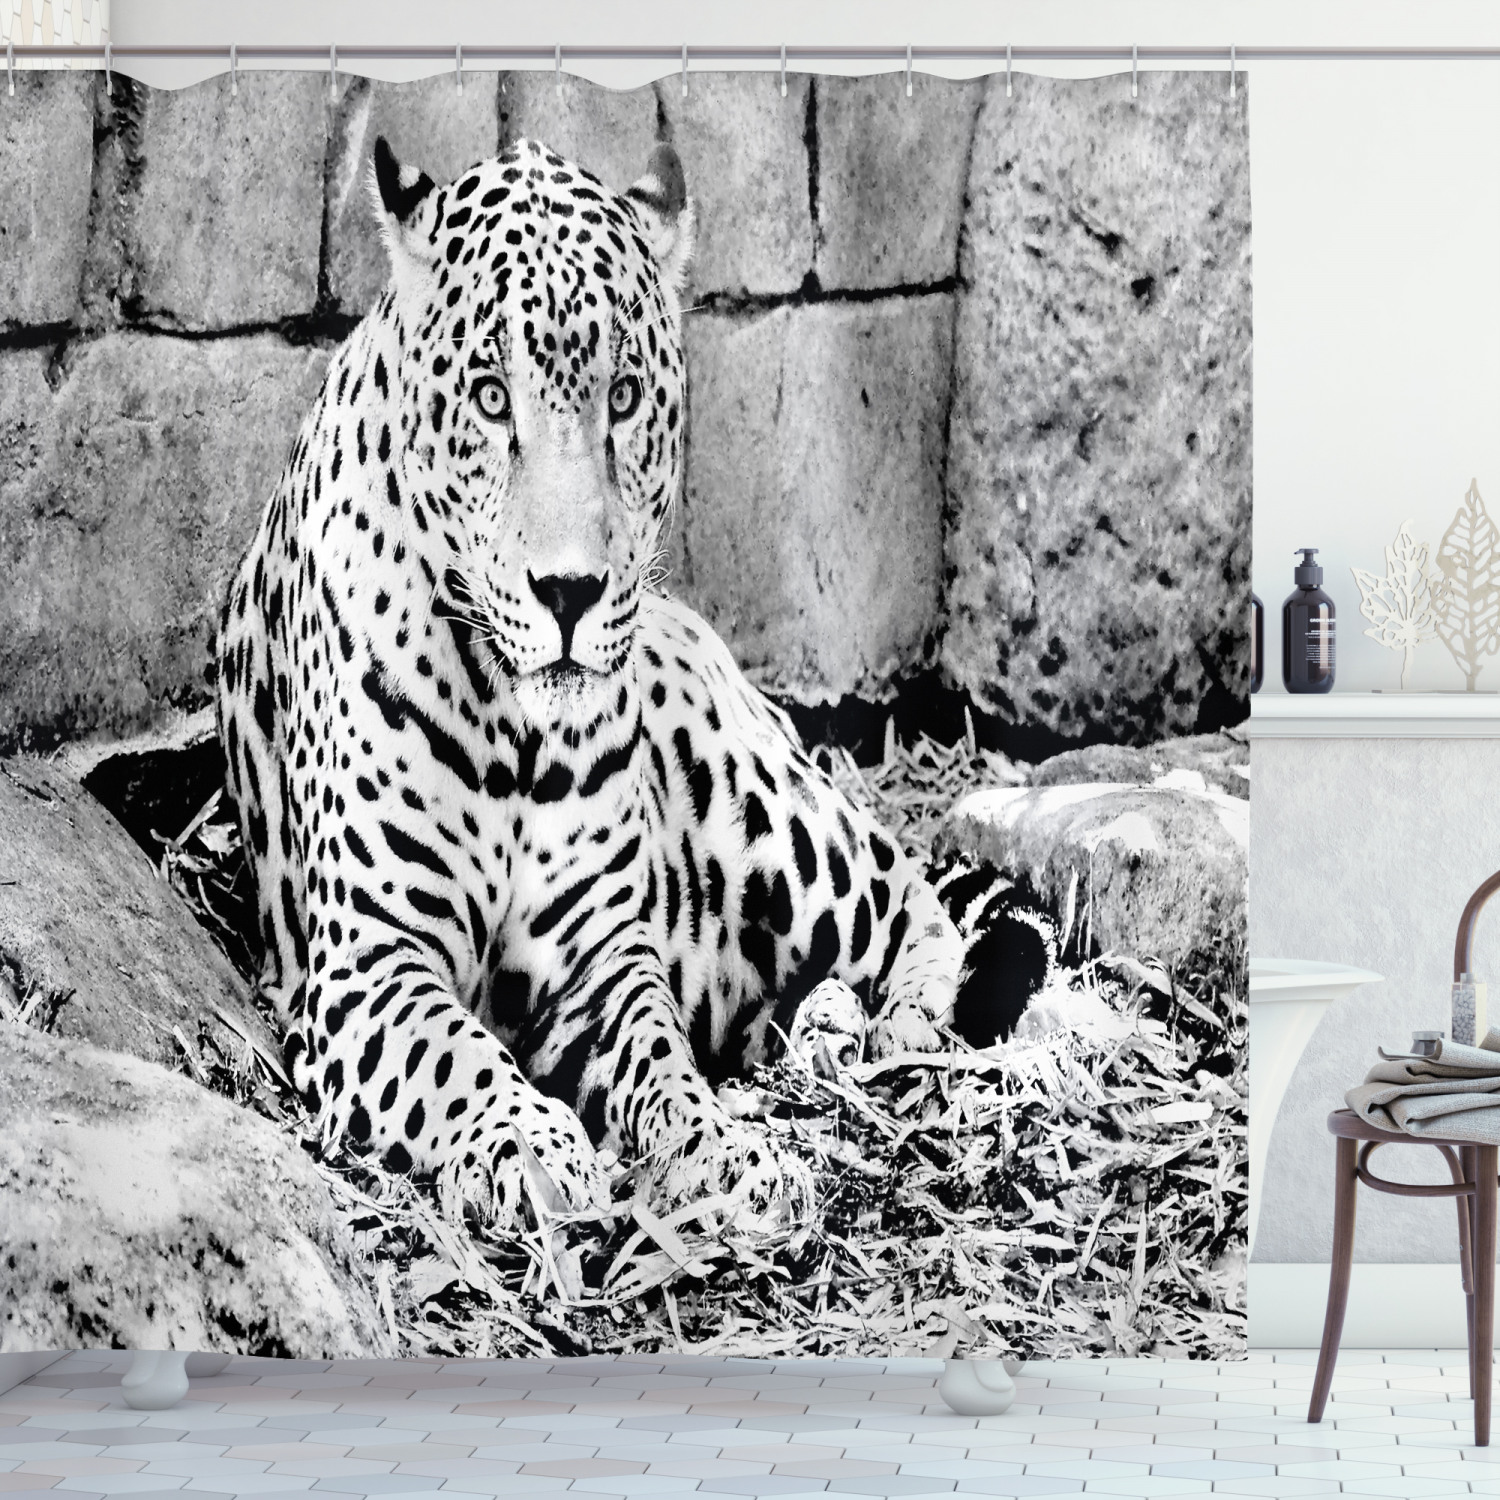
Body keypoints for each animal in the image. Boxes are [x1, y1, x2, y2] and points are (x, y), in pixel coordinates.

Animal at [216, 134, 965, 1227]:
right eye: (492, 397)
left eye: (623, 396)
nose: (570, 590)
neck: (517, 736)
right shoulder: (368, 962)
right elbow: (454, 1054)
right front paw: (528, 1142)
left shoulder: (602, 958)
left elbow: (661, 1063)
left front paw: (726, 1152)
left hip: (769, 812)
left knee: (908, 890)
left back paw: (899, 1026)